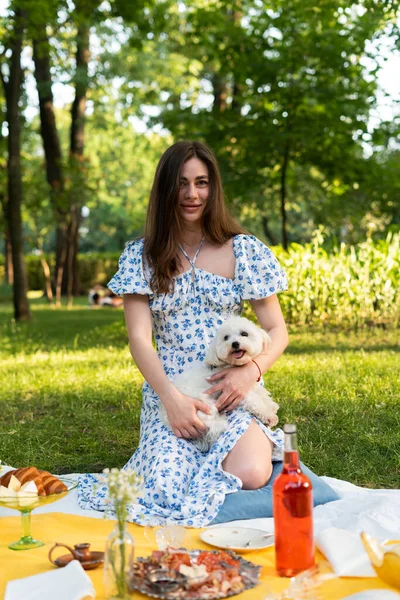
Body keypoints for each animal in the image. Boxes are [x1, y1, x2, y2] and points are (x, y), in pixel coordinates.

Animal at [159, 318, 278, 450]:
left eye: (244, 334)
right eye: (226, 337)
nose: (235, 344)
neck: (233, 365)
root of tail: (165, 415)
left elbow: (262, 394)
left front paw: (271, 406)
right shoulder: (235, 390)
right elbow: (255, 400)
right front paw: (268, 415)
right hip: (204, 405)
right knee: (213, 427)